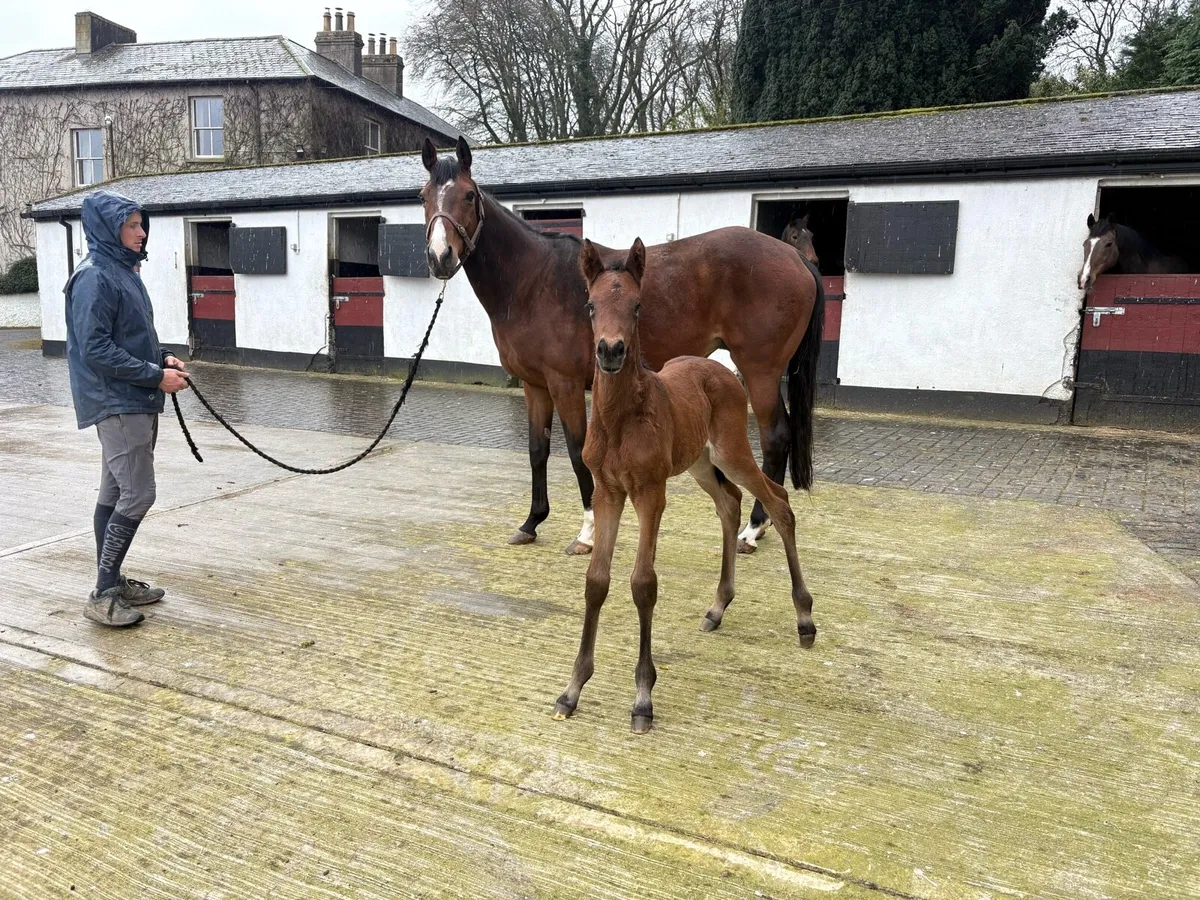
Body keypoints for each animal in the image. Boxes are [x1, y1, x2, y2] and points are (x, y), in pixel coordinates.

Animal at [421, 137, 823, 556]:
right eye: (424, 197)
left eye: (468, 195)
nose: (440, 257)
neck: (533, 280)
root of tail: (794, 257)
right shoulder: (536, 386)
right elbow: (537, 451)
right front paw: (531, 522)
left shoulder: (564, 384)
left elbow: (578, 452)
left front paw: (587, 532)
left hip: (759, 371)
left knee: (775, 437)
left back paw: (753, 529)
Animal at [553, 238, 817, 734]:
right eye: (590, 305)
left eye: (637, 306)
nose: (610, 352)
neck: (621, 418)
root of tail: (722, 370)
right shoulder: (608, 492)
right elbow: (597, 581)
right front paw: (572, 690)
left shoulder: (650, 493)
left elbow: (643, 583)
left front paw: (642, 700)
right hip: (699, 463)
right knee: (730, 502)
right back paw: (718, 607)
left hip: (730, 452)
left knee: (777, 499)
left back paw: (805, 619)